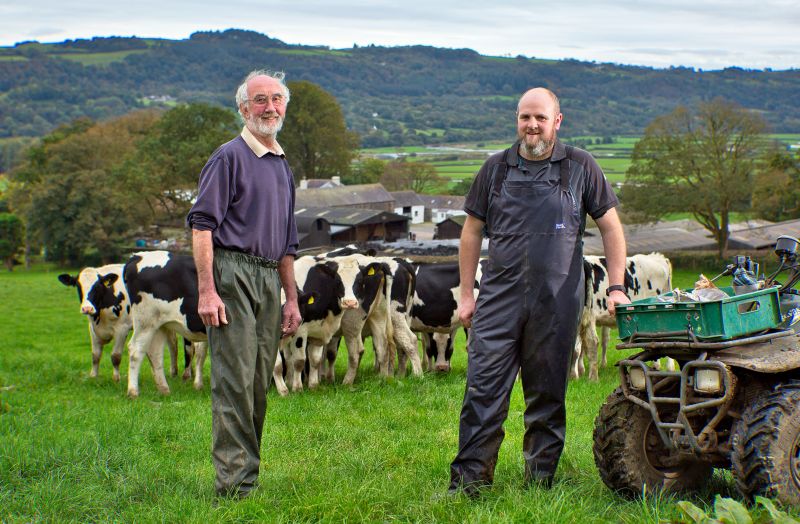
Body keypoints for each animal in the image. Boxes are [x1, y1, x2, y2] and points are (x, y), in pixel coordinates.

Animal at [122, 252, 208, 396]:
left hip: (159, 325)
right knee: (135, 350)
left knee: (155, 352)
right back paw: (133, 392)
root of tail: (138, 256)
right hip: (145, 321)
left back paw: (164, 389)